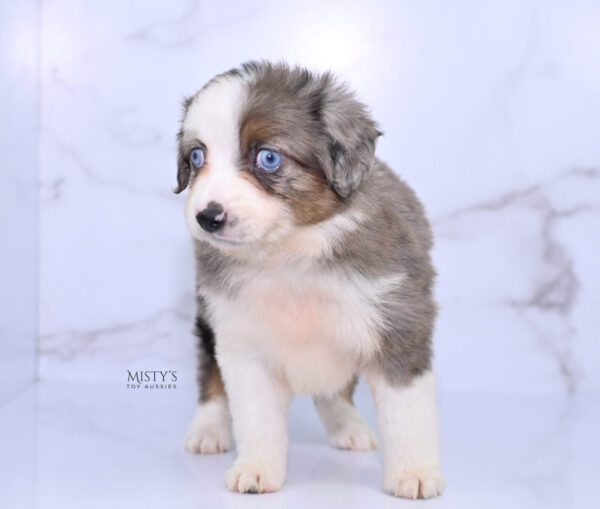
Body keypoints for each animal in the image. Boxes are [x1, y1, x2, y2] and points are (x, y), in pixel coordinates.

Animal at [176, 59, 442, 496]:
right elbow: (255, 416)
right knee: (210, 375)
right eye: (197, 157)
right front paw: (257, 469)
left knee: (334, 391)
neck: (290, 252)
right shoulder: (242, 340)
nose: (207, 217)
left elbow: (407, 413)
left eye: (268, 158)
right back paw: (208, 430)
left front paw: (414, 474)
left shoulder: (397, 326)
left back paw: (347, 425)